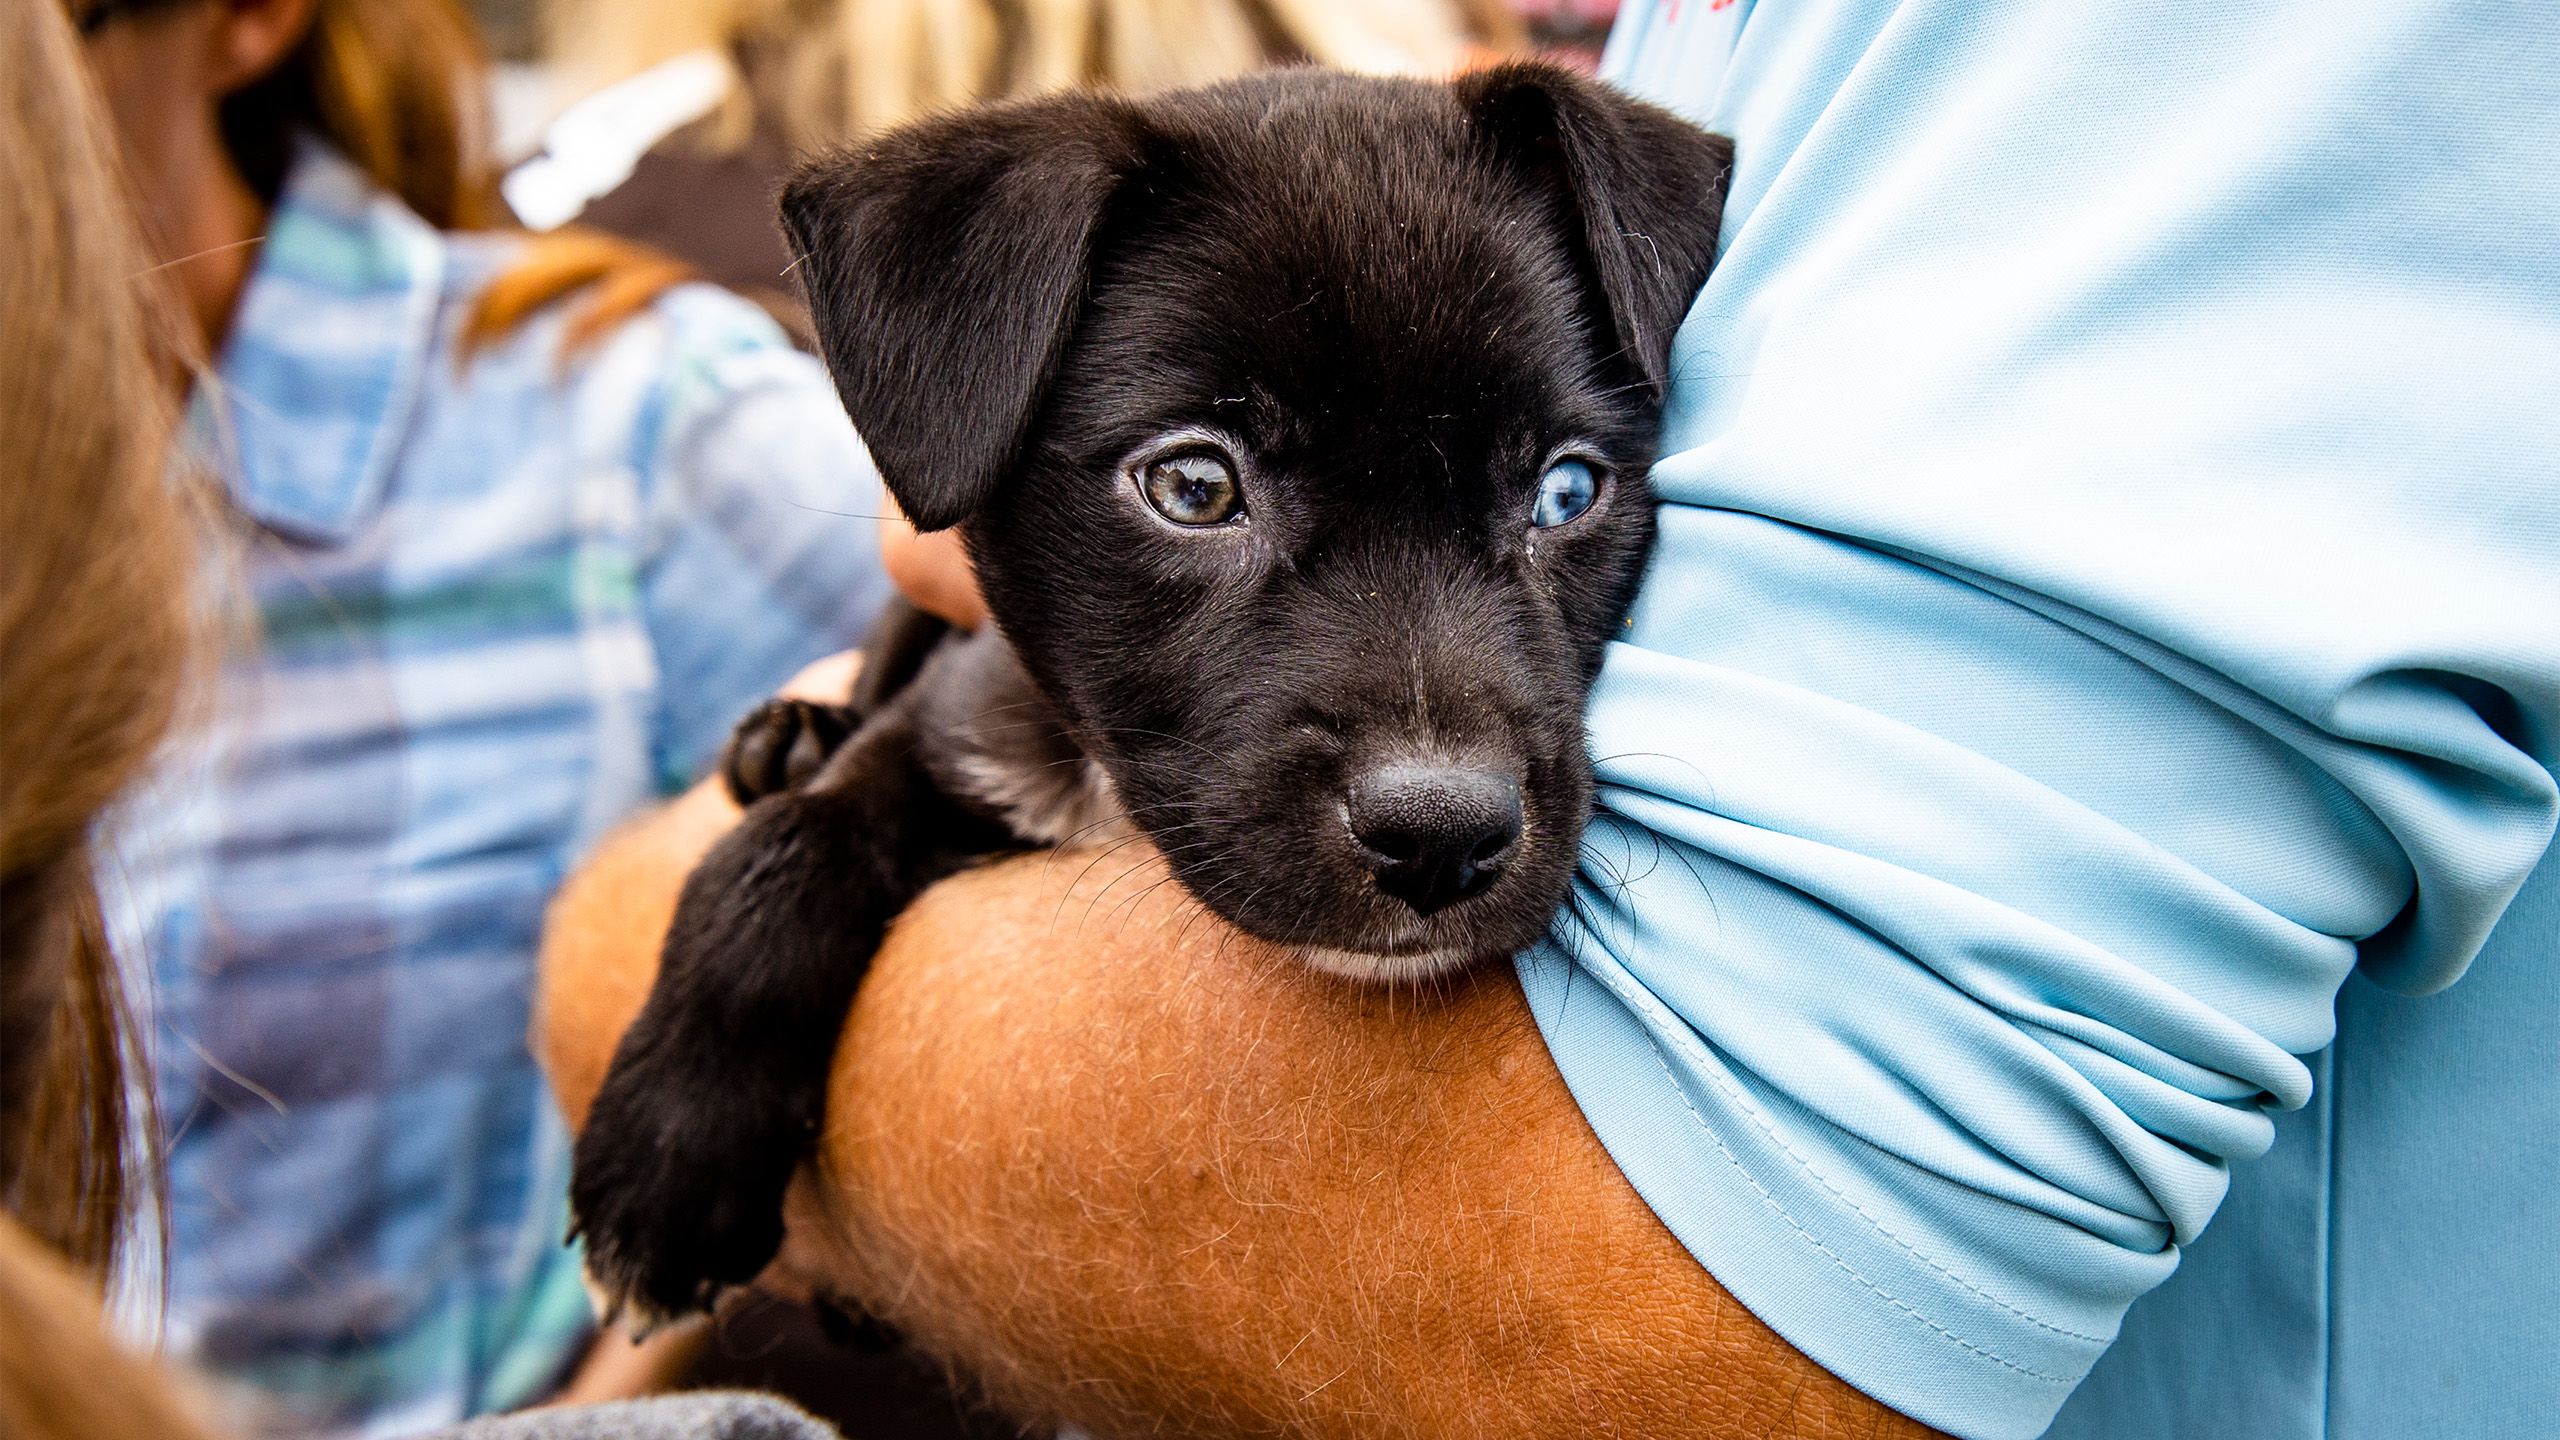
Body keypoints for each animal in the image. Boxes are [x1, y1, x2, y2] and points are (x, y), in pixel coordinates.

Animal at [578, 64, 1730, 1322]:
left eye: (1567, 490)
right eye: (1191, 486)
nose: (1439, 836)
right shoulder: (954, 724)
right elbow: (782, 847)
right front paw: (669, 1149)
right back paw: (783, 736)